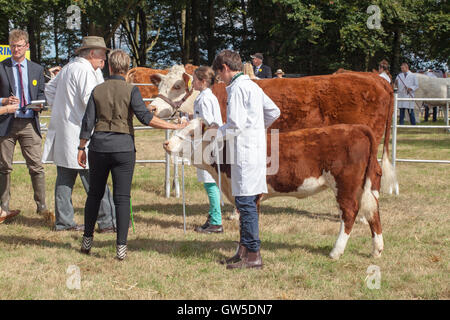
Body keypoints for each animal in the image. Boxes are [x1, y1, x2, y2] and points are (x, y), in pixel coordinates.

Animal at [167, 119, 384, 262]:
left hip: (344, 185)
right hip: (366, 186)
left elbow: (246, 224)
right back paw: (377, 250)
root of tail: (356, 127)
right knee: (373, 211)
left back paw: (335, 252)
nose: (166, 143)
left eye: (191, 134)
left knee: (349, 213)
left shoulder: (249, 195)